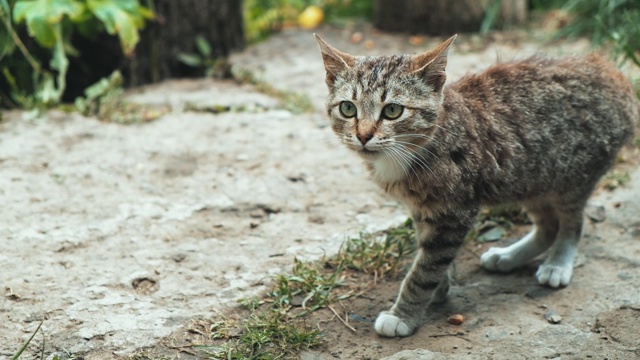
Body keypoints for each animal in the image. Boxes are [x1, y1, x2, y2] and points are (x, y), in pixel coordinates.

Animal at [312, 33, 636, 338]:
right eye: (348, 108)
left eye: (392, 110)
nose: (363, 135)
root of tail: (608, 70)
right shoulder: (422, 207)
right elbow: (426, 249)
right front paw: (439, 287)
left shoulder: (457, 210)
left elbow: (426, 266)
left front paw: (403, 314)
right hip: (531, 177)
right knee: (548, 225)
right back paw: (507, 257)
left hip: (570, 177)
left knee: (571, 222)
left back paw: (558, 263)